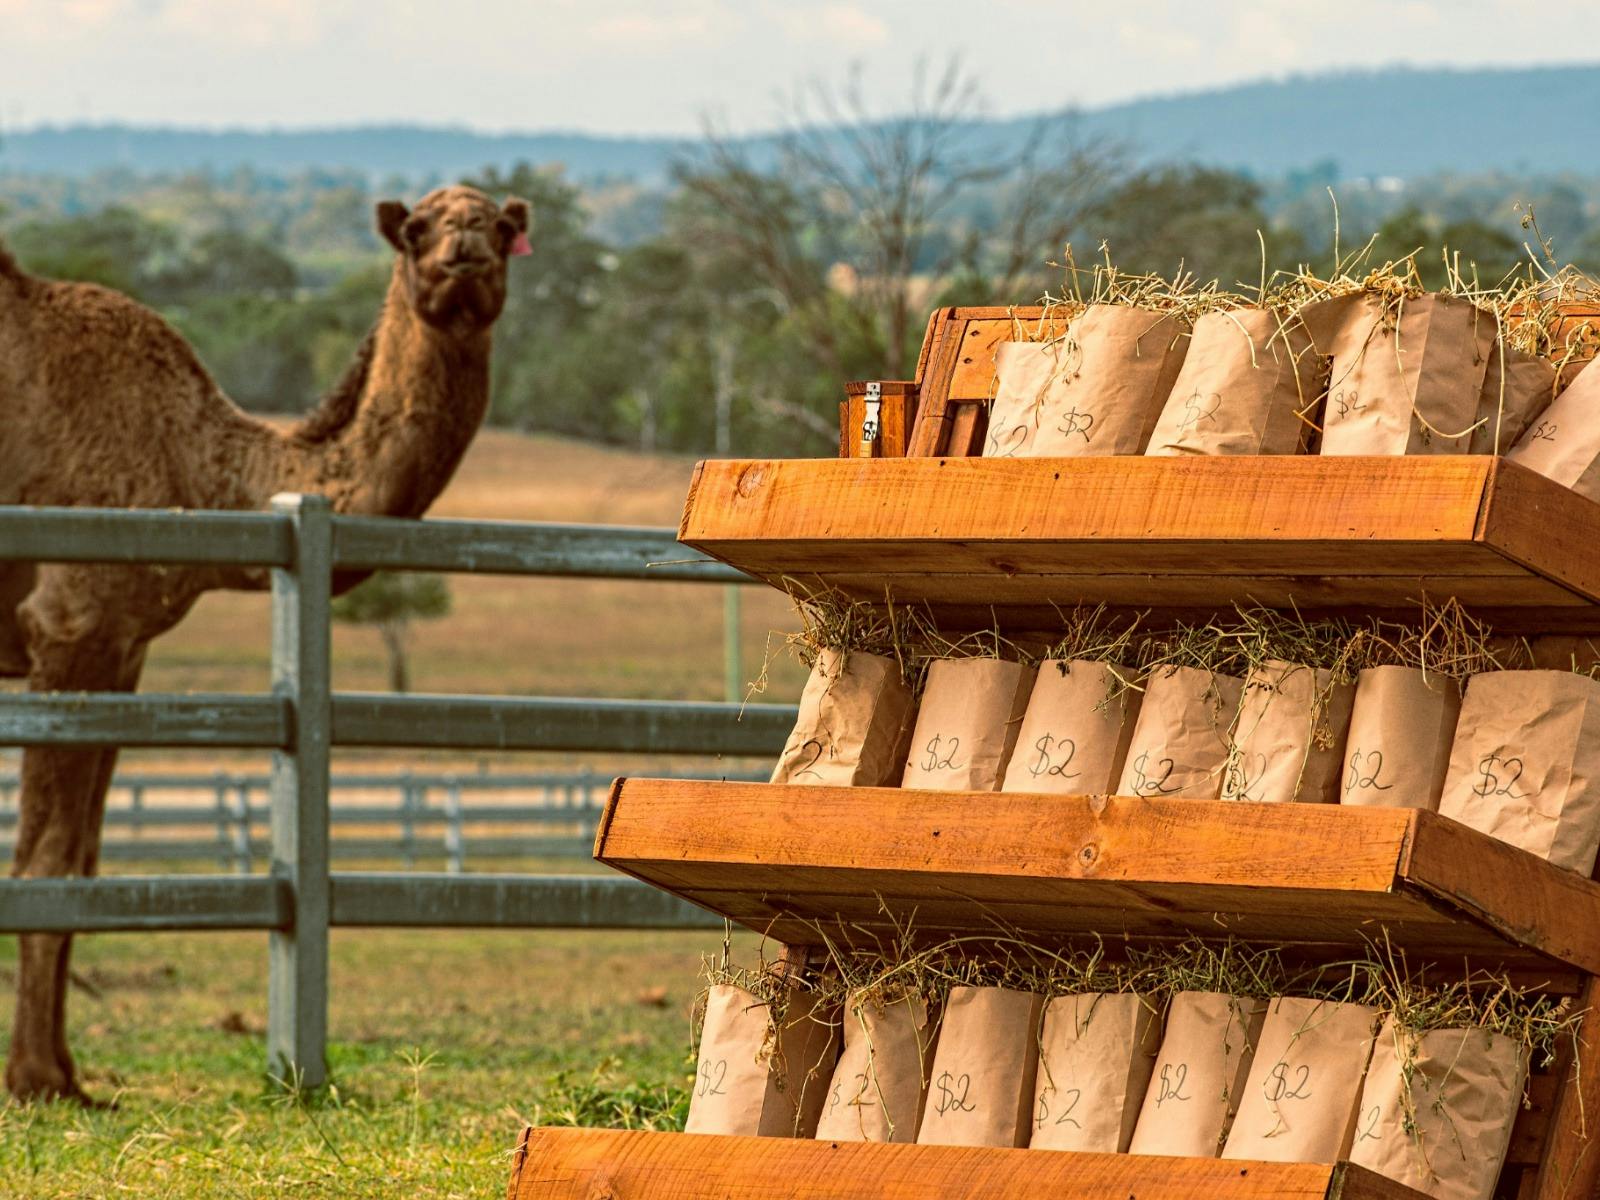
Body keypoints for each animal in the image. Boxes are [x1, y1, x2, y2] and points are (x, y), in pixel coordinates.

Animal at [0, 184, 530, 1102]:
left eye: (500, 227)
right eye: (418, 228)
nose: (464, 249)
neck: (200, 466)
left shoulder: (123, 646)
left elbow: (89, 862)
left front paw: (67, 1071)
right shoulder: (72, 623)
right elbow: (49, 859)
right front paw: (38, 1081)